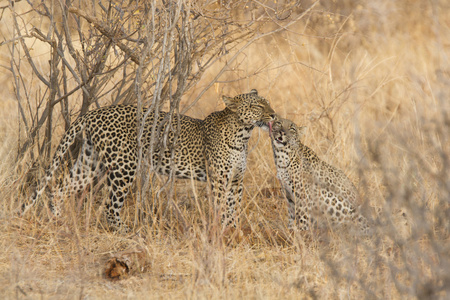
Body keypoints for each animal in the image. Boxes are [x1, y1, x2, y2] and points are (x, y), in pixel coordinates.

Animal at [22, 90, 276, 231]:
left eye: (268, 102)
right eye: (257, 106)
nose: (274, 114)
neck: (242, 134)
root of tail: (93, 112)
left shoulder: (236, 181)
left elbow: (234, 207)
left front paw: (233, 230)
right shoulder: (220, 180)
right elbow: (223, 207)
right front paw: (223, 230)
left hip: (90, 162)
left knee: (59, 188)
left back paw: (58, 221)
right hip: (124, 166)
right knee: (110, 205)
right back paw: (125, 231)